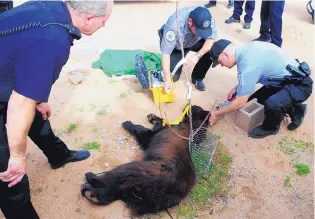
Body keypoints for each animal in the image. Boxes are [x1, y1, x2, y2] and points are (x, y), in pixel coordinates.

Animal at [80, 105, 211, 216]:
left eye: (195, 107)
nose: (188, 105)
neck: (194, 127)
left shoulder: (151, 136)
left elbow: (142, 130)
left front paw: (128, 123)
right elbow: (161, 122)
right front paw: (153, 117)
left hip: (136, 170)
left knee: (113, 179)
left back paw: (91, 178)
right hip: (131, 190)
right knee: (111, 192)